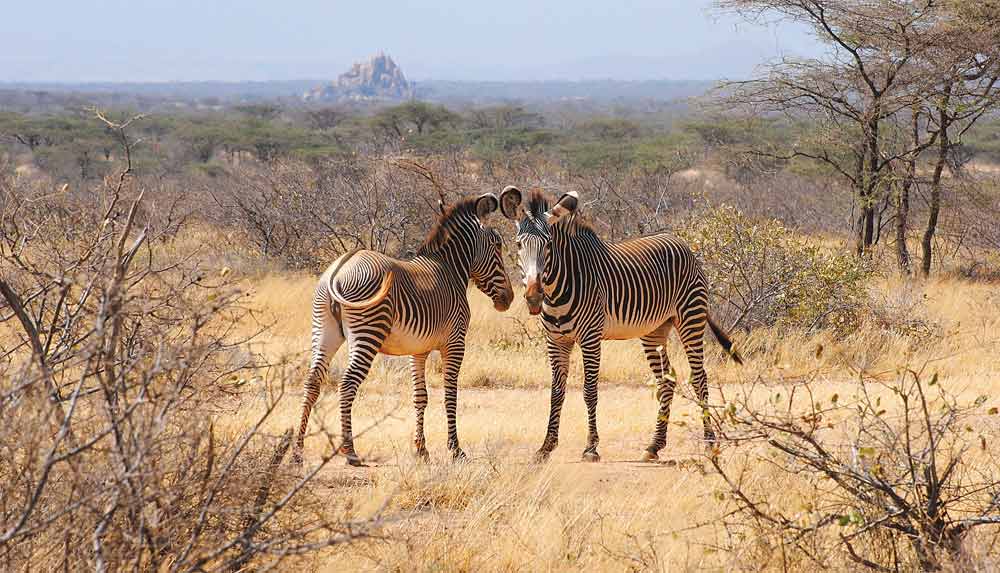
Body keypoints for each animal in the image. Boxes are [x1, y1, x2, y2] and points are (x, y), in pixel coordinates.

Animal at [294, 192, 516, 464]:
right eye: (498, 245)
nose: (509, 298)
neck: (451, 270)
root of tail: (340, 268)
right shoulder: (455, 343)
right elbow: (450, 394)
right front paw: (455, 449)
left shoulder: (417, 350)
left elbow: (420, 397)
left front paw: (421, 449)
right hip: (368, 331)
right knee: (346, 384)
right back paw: (350, 451)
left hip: (324, 329)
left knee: (312, 381)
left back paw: (297, 450)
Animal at [500, 185, 744, 462]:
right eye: (518, 244)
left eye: (549, 245)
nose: (533, 297)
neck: (557, 291)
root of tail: (680, 241)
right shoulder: (556, 341)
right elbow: (556, 392)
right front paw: (546, 447)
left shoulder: (590, 338)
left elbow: (589, 390)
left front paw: (591, 447)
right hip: (654, 330)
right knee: (666, 381)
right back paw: (654, 445)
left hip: (691, 317)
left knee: (699, 377)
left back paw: (709, 443)